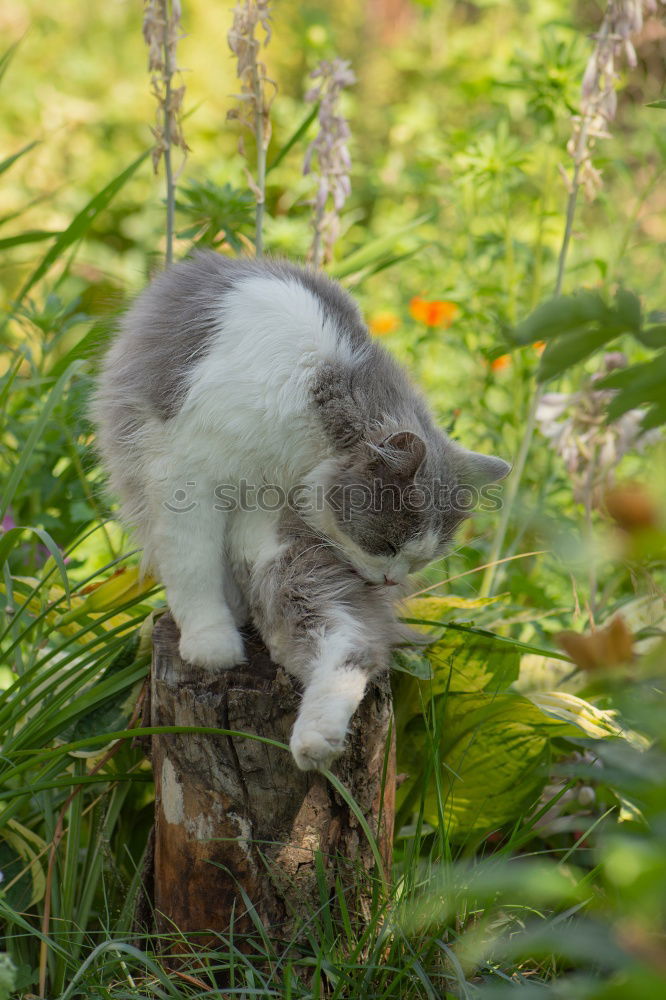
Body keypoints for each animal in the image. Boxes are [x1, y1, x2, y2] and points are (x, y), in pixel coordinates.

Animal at [92, 254, 508, 768]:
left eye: (420, 561)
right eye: (386, 543)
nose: (391, 582)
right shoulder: (186, 479)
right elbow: (194, 568)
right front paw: (211, 643)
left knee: (348, 648)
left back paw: (316, 740)